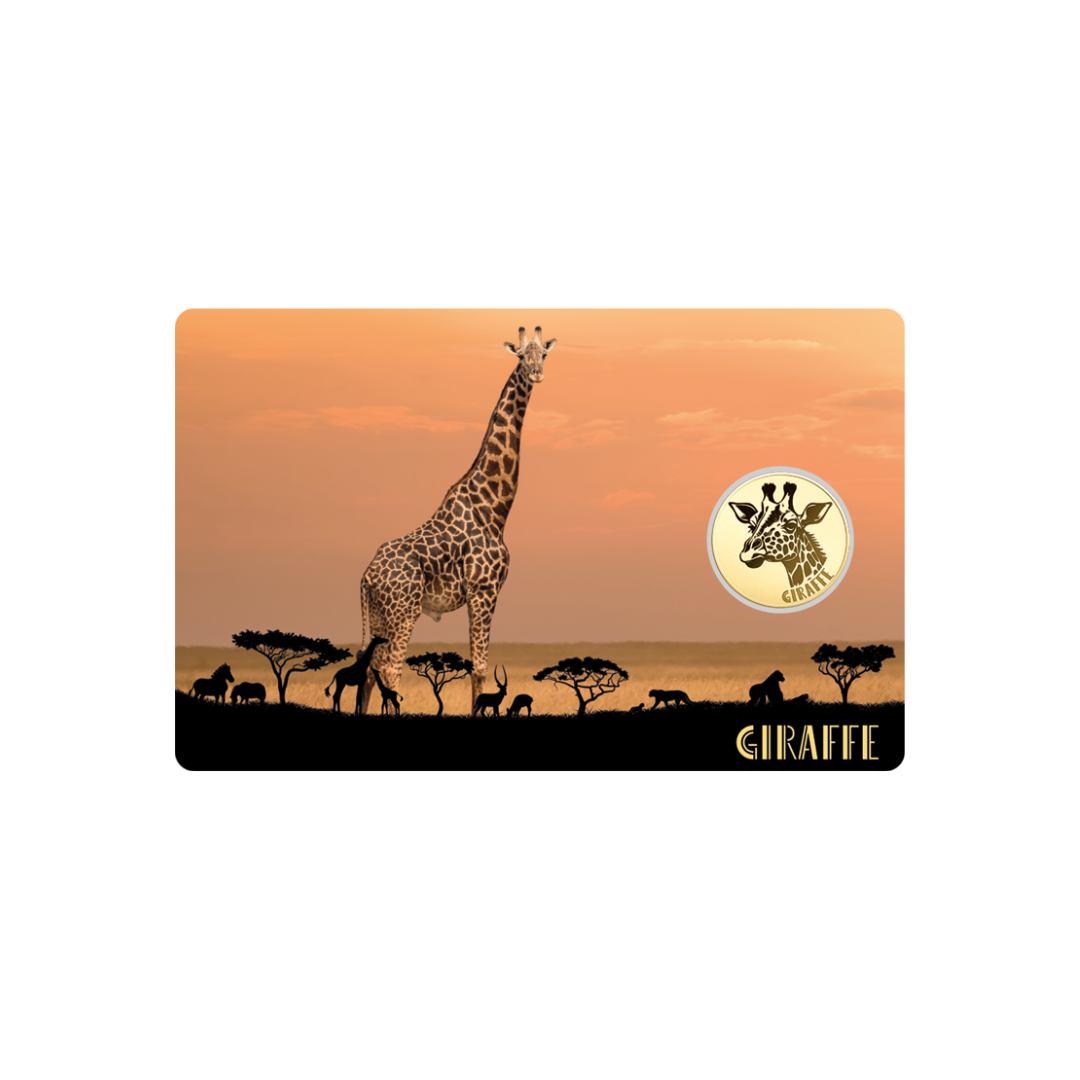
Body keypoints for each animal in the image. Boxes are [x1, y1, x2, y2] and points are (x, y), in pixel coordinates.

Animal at [358, 326, 556, 714]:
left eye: (544, 354)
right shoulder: (484, 591)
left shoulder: (482, 594)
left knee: (369, 670)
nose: (537, 373)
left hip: (378, 614)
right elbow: (479, 668)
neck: (494, 508)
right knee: (390, 669)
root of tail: (367, 577)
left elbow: (476, 667)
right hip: (404, 611)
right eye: (521, 356)